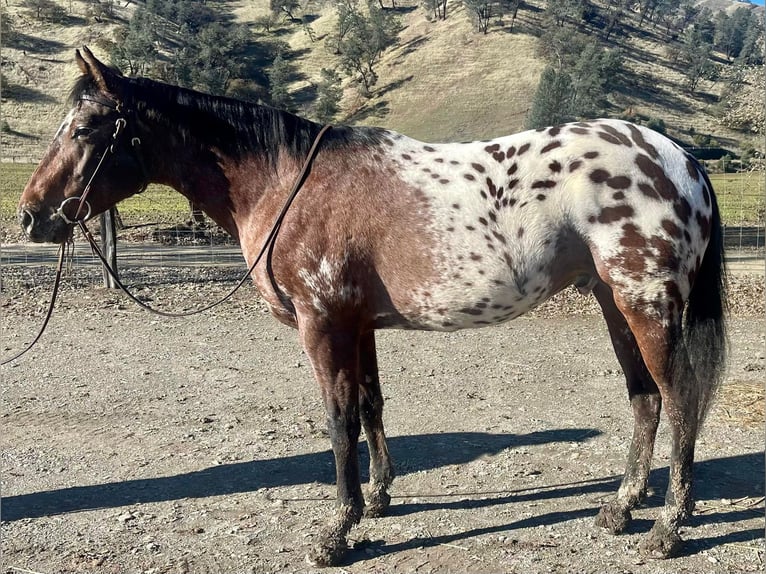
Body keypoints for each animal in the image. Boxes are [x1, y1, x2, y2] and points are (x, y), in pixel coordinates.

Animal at [15, 48, 728, 568]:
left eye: (85, 128)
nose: (31, 216)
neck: (285, 181)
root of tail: (682, 160)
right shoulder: (357, 326)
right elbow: (370, 406)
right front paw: (379, 499)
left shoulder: (323, 324)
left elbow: (339, 421)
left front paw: (337, 530)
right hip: (614, 302)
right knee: (645, 399)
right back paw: (621, 507)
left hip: (644, 302)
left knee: (679, 398)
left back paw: (669, 526)